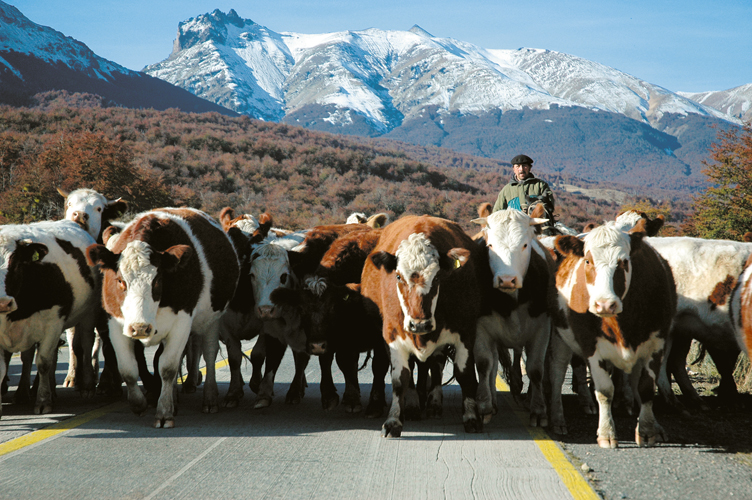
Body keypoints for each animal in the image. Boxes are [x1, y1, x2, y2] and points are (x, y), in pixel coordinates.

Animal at [0, 221, 98, 416]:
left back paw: (88, 386)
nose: (3, 302)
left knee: (86, 343)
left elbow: (44, 362)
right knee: (30, 356)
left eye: (16, 264)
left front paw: (43, 401)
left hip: (88, 314)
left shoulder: (53, 323)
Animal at [88, 209, 241, 428]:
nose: (140, 328)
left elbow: (167, 368)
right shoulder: (115, 324)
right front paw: (139, 404)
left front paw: (164, 412)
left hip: (211, 320)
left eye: (157, 280)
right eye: (120, 281)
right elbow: (128, 369)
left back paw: (210, 399)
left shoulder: (182, 324)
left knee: (210, 353)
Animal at [362, 215, 482, 438]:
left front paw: (471, 417)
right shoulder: (392, 336)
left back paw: (433, 403)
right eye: (398, 276)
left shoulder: (465, 332)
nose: (419, 324)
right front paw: (393, 420)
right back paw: (406, 405)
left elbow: (465, 375)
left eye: (437, 277)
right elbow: (400, 379)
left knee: (435, 365)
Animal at [548, 221, 676, 448]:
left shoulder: (656, 344)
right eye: (588, 260)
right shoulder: (591, 345)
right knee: (557, 372)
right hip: (560, 336)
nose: (605, 304)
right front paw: (606, 432)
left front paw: (647, 430)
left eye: (624, 262)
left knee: (633, 380)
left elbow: (646, 388)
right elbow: (605, 390)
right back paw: (557, 419)